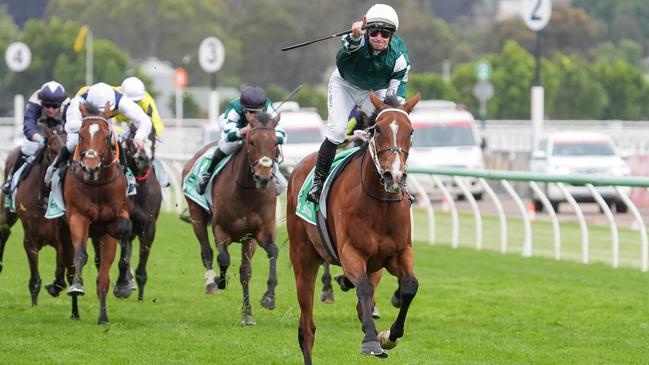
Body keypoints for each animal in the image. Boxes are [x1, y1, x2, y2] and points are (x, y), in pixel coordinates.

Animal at [65, 101, 132, 322]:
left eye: (106, 135)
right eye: (80, 134)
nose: (91, 166)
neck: (98, 185)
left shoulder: (114, 219)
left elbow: (125, 232)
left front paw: (123, 284)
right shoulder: (78, 216)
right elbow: (80, 254)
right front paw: (77, 286)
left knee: (103, 276)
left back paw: (103, 317)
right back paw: (74, 311)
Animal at [181, 111, 280, 324]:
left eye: (276, 142)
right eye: (252, 142)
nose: (263, 178)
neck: (247, 192)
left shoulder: (257, 234)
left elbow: (260, 262)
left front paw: (261, 303)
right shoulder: (220, 228)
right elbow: (224, 258)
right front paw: (220, 281)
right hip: (196, 215)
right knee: (207, 251)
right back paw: (211, 283)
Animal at [288, 91, 420, 362]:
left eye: (410, 131)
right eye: (377, 129)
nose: (393, 176)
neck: (380, 204)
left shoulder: (399, 252)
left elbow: (410, 286)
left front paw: (388, 336)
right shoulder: (351, 251)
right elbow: (363, 288)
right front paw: (371, 341)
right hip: (303, 258)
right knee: (307, 329)